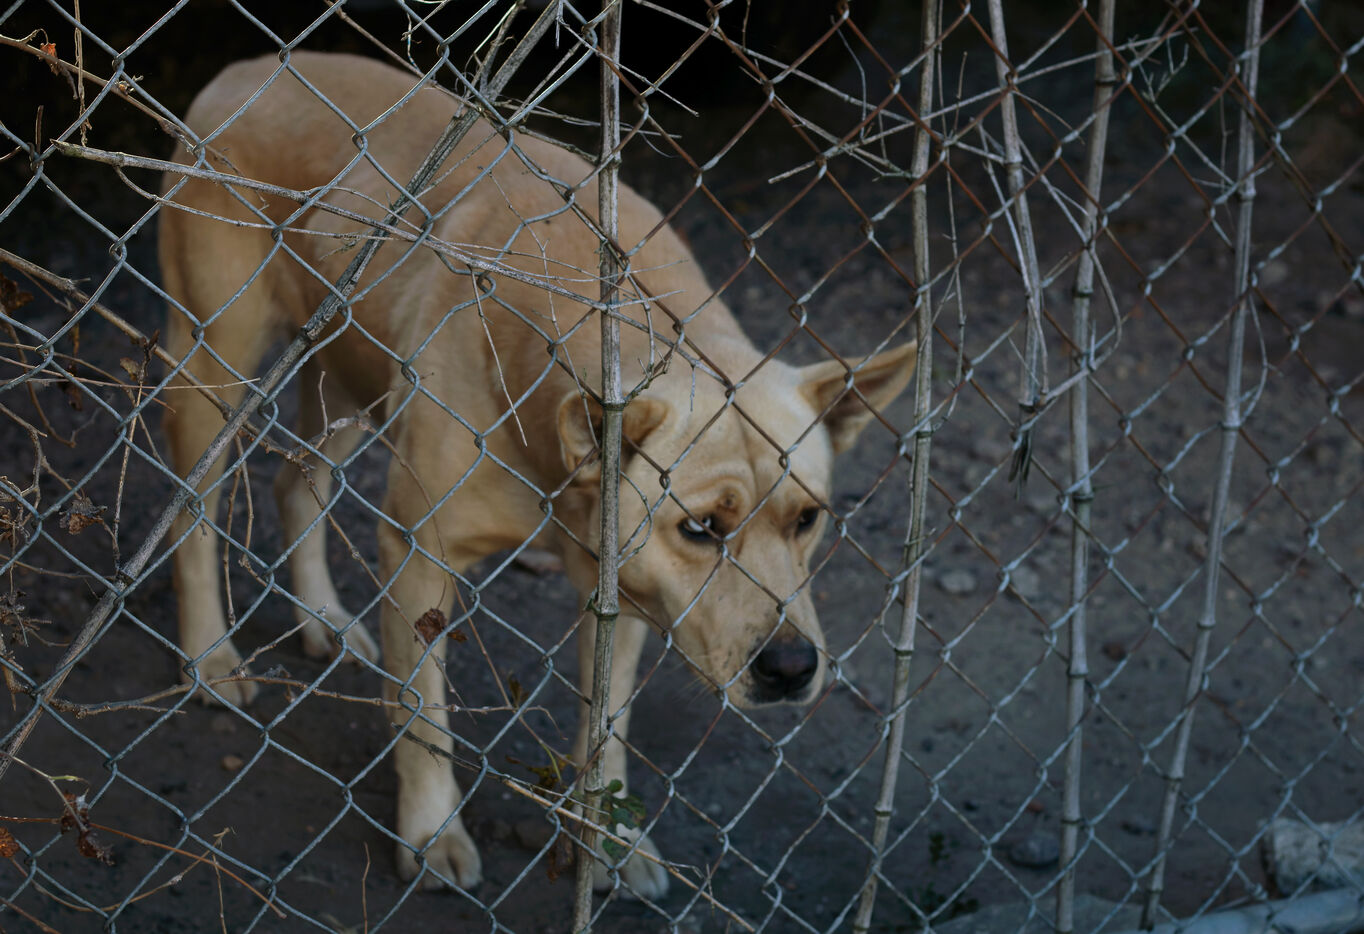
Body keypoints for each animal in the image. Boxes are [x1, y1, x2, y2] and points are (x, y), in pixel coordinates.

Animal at [160, 51, 916, 897]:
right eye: (699, 529)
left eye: (808, 519)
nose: (791, 668)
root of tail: (248, 67)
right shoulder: (419, 556)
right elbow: (423, 717)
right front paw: (432, 834)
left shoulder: (621, 592)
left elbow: (606, 726)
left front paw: (610, 842)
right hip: (213, 365)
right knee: (194, 509)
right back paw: (209, 658)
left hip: (349, 380)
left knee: (298, 480)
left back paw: (320, 617)